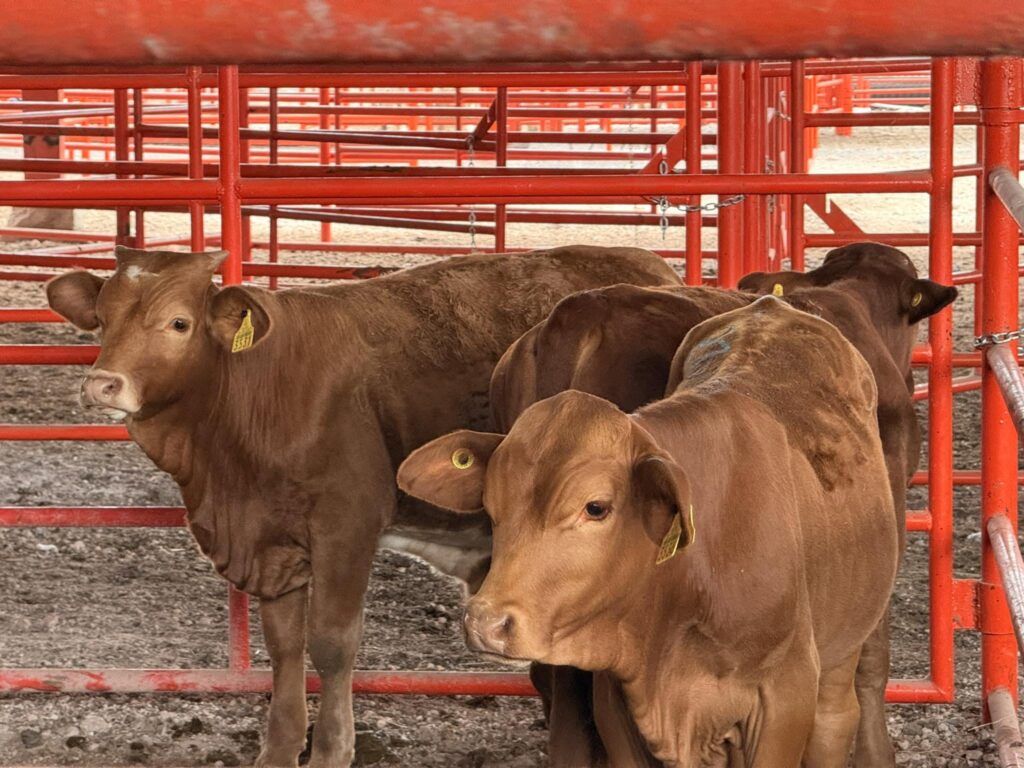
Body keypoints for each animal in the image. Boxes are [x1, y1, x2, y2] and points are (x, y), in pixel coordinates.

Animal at [43, 244, 679, 768]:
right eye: (101, 319)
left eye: (178, 322)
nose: (103, 385)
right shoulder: (272, 543)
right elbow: (285, 647)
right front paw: (279, 750)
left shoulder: (345, 525)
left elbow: (330, 643)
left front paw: (331, 750)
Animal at [397, 297, 901, 766]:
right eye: (491, 506)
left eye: (596, 507)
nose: (486, 623)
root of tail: (772, 306)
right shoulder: (616, 704)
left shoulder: (784, 698)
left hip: (846, 642)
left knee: (836, 717)